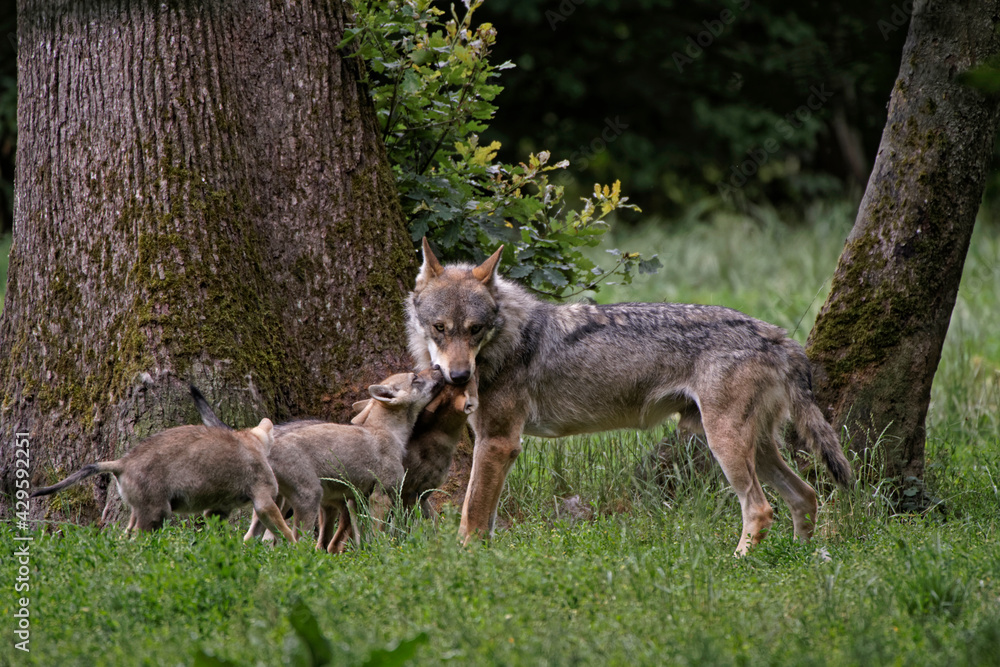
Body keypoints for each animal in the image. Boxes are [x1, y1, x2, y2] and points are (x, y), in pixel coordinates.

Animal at [29, 420, 296, 544]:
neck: (253, 442)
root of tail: (122, 463)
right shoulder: (264, 500)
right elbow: (284, 530)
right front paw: (296, 549)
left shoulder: (218, 509)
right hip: (157, 513)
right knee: (136, 541)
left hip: (139, 511)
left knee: (123, 538)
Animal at [404, 237, 852, 556]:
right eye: (440, 328)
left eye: (475, 329)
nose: (459, 376)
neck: (507, 341)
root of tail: (776, 335)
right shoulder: (495, 445)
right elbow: (483, 516)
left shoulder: (498, 443)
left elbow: (472, 517)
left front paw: (464, 562)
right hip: (754, 446)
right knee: (805, 496)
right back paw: (799, 557)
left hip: (724, 444)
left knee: (760, 509)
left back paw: (738, 562)